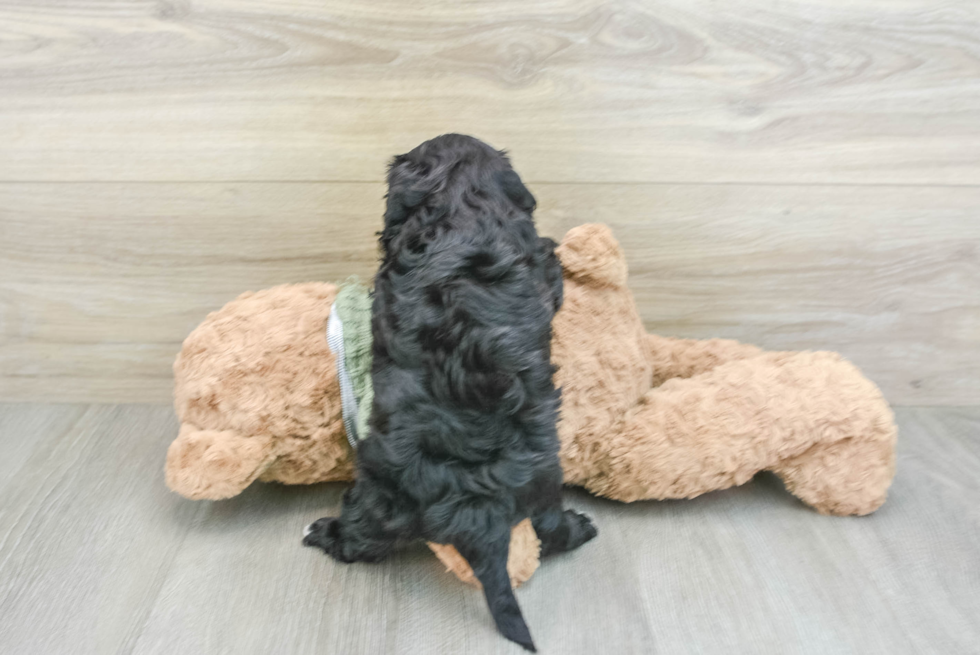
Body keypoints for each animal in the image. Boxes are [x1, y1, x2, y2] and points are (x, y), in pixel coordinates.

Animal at [304, 135, 596, 652]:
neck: (463, 205)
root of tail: (476, 510)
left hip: (379, 498)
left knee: (360, 540)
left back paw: (324, 533)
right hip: (543, 486)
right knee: (549, 529)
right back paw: (579, 528)